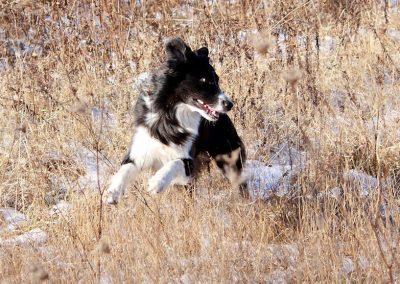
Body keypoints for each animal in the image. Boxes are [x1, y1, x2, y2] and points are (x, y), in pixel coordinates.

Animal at [104, 37, 245, 204]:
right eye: (204, 80)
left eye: (217, 80)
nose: (229, 104)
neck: (170, 116)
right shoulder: (141, 149)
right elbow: (124, 169)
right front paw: (112, 192)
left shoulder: (189, 165)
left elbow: (175, 162)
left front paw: (157, 182)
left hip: (228, 158)